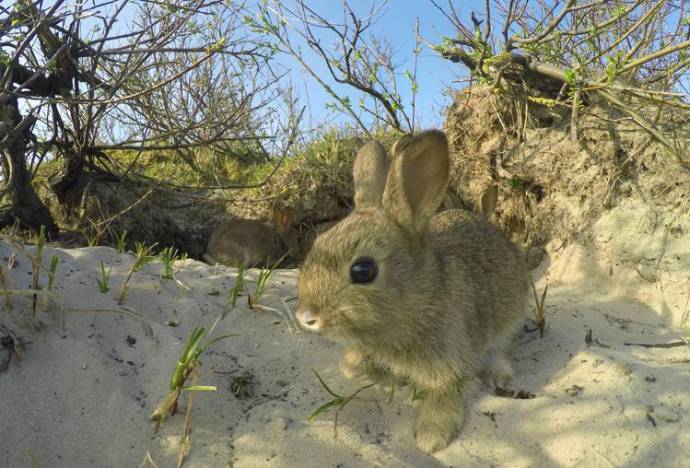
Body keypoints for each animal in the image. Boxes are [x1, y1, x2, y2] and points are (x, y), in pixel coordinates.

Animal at [296, 130, 528, 452]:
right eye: (316, 245)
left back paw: (498, 374)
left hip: (511, 315)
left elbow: (448, 390)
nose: (305, 316)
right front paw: (366, 371)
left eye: (363, 271)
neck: (420, 298)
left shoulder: (453, 354)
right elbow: (352, 368)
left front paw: (431, 436)